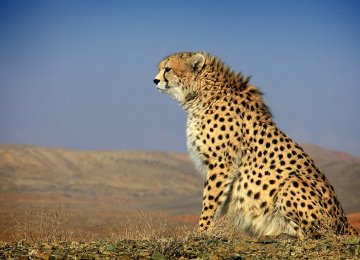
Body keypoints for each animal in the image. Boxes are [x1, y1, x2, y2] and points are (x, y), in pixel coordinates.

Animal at [152, 50, 358, 238]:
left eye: (167, 69)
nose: (155, 80)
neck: (204, 94)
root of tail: (345, 222)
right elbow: (217, 202)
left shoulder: (221, 163)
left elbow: (210, 200)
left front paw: (201, 231)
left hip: (291, 183)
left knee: (317, 234)